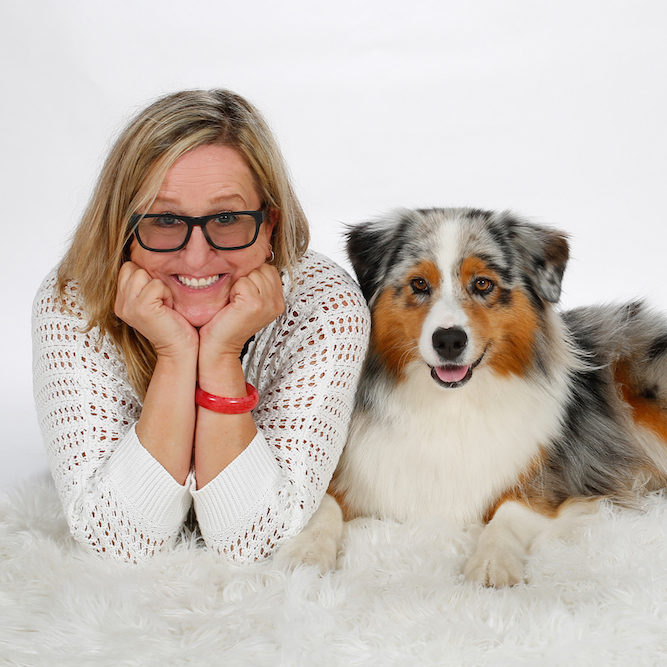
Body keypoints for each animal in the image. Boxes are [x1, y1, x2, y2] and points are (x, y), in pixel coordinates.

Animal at [276, 207, 667, 584]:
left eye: (482, 283)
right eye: (419, 283)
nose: (449, 340)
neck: (451, 406)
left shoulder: (552, 483)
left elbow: (507, 516)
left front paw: (492, 564)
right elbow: (322, 506)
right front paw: (306, 554)